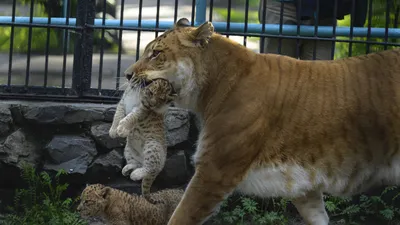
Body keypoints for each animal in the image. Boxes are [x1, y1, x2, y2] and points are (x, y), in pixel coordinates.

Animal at [122, 17, 400, 225]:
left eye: (156, 53)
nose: (126, 75)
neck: (210, 90)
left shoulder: (215, 170)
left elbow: (181, 215)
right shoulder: (304, 186)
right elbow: (318, 216)